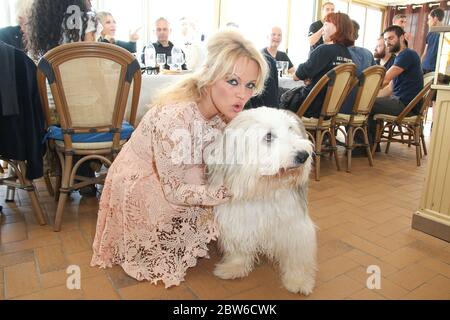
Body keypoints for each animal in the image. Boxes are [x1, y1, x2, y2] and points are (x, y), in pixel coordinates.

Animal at [206, 107, 318, 296]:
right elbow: (239, 248)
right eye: (268, 136)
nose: (304, 155)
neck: (264, 186)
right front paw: (233, 268)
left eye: (290, 129)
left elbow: (296, 254)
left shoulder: (294, 226)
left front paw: (298, 280)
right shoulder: (238, 222)